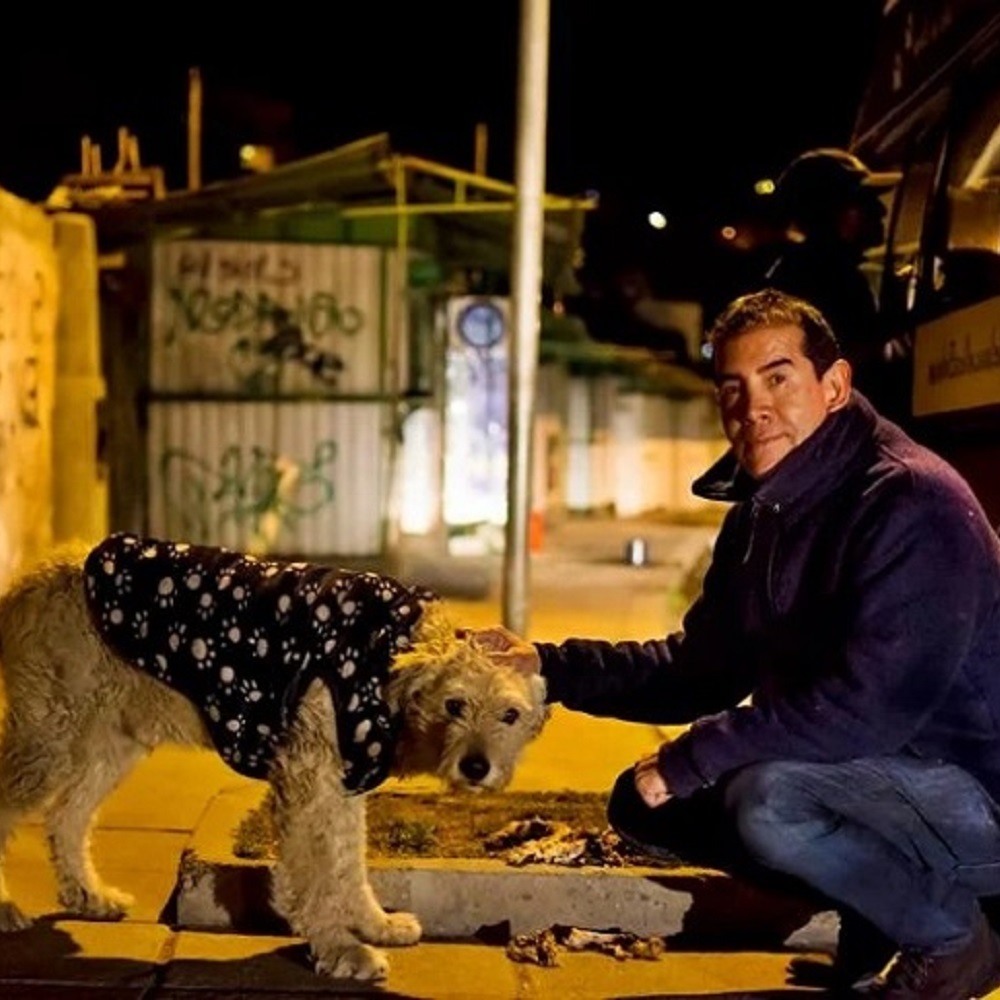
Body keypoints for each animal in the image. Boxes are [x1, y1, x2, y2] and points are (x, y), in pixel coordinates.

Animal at [0, 536, 548, 980]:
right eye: (455, 705)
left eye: (510, 715)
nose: (476, 767)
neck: (387, 659)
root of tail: (32, 576)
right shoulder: (306, 782)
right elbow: (315, 873)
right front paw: (340, 948)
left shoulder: (342, 786)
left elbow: (348, 862)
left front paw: (373, 924)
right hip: (48, 741)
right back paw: (7, 907)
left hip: (111, 745)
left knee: (67, 817)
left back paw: (87, 895)